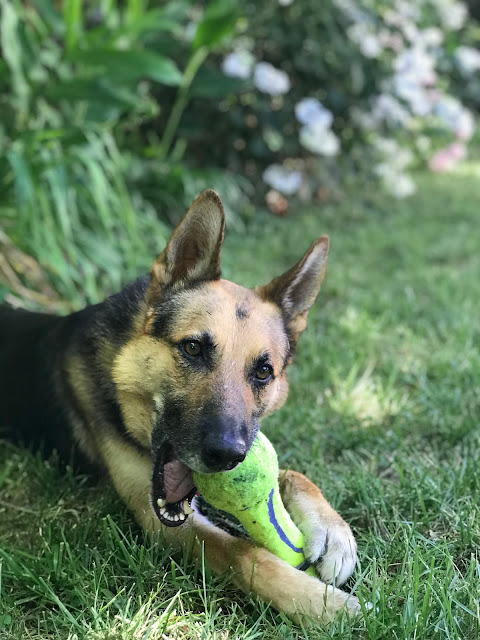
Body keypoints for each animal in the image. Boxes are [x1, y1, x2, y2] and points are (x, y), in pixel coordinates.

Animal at [0, 190, 360, 620]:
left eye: (263, 372)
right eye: (192, 348)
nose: (227, 456)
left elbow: (291, 473)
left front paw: (334, 532)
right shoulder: (160, 522)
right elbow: (244, 552)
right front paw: (325, 606)